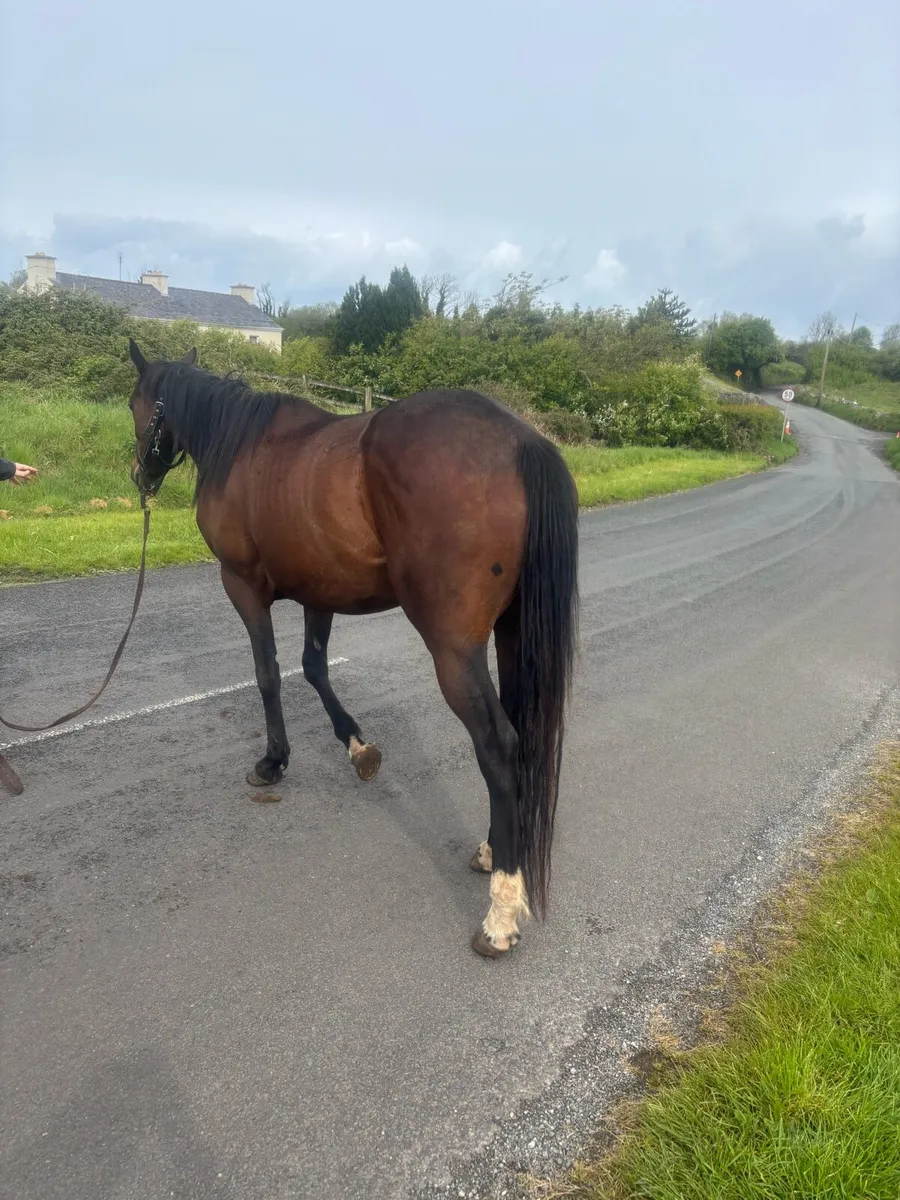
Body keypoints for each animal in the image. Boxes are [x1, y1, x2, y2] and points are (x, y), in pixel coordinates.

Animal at [127, 339, 578, 957]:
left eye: (134, 403)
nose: (140, 475)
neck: (241, 446)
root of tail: (519, 441)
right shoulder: (320, 592)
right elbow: (313, 667)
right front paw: (358, 747)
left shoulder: (241, 585)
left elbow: (268, 672)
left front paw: (273, 760)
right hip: (511, 636)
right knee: (522, 731)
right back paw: (492, 852)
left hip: (454, 651)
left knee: (499, 744)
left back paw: (501, 912)